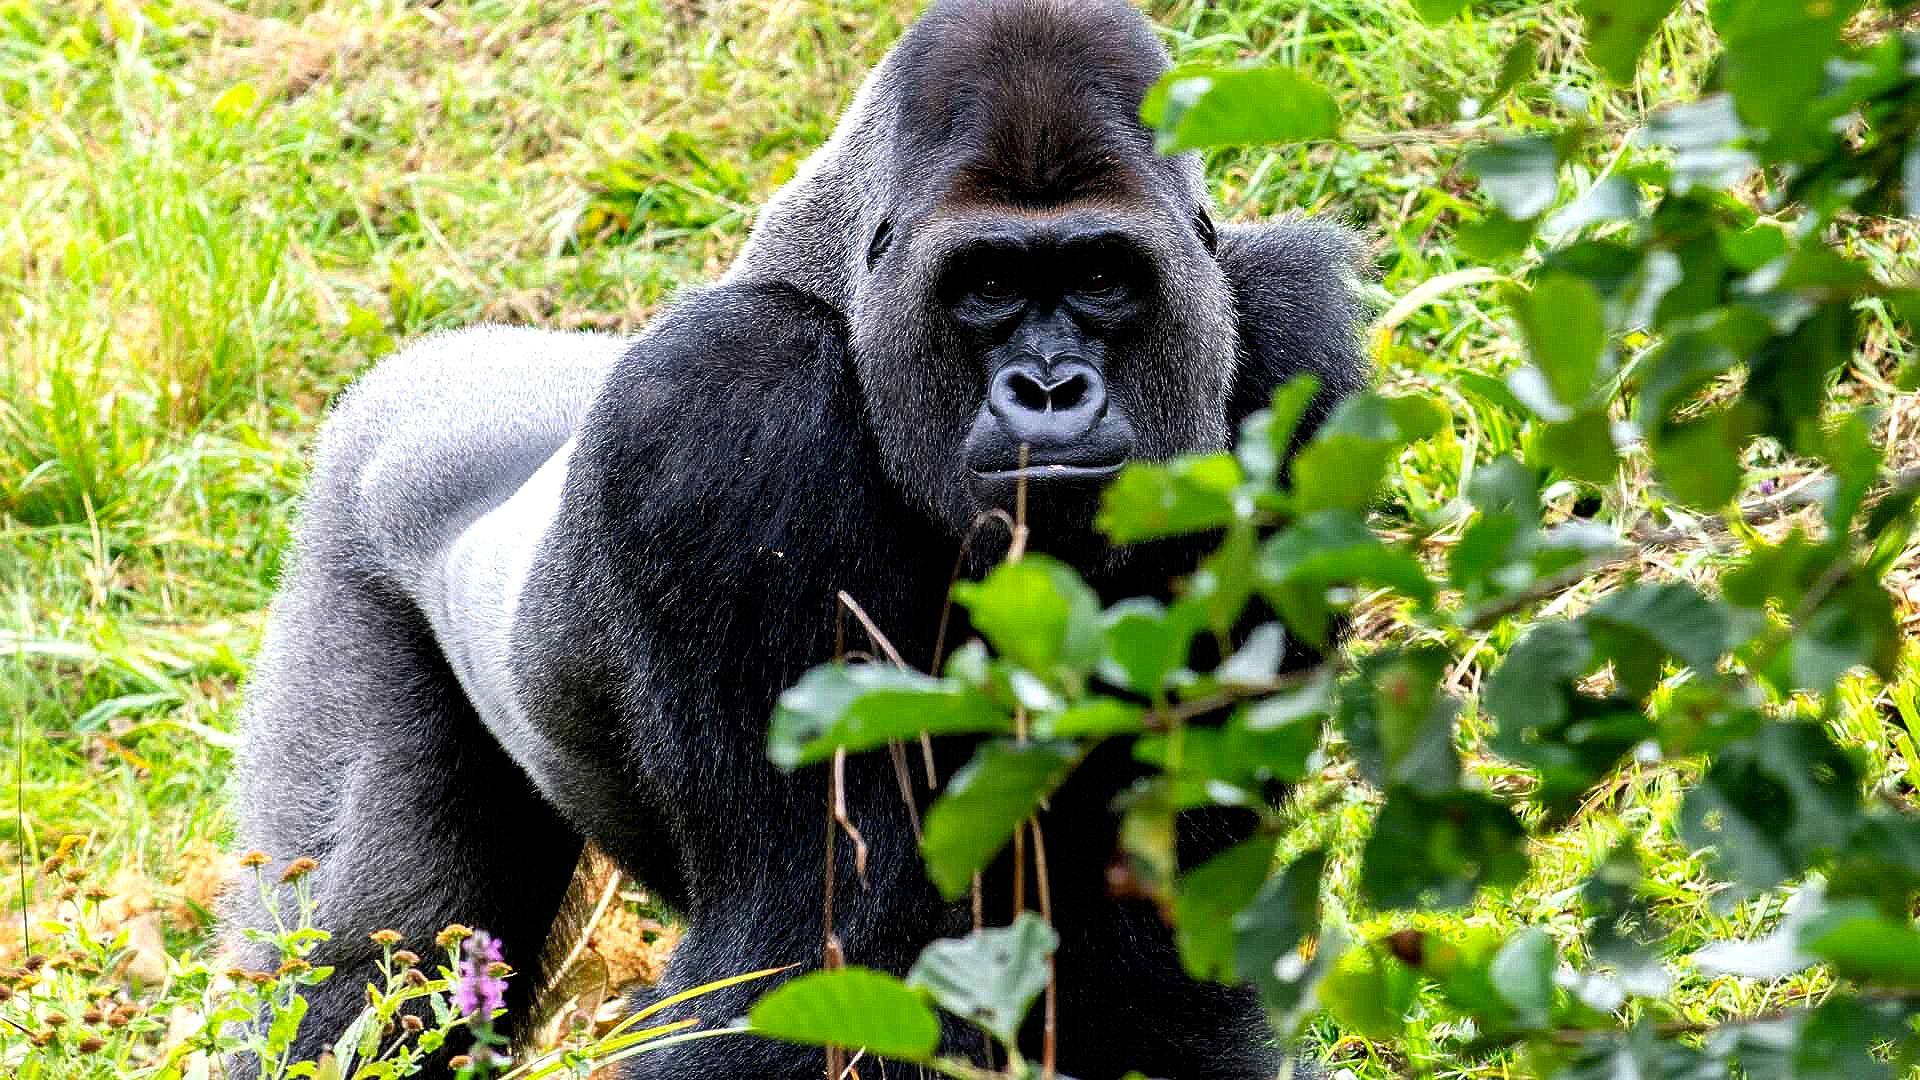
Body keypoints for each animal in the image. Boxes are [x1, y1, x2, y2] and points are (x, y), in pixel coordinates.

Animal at [228, 2, 1367, 1076]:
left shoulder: (1293, 353)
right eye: (990, 286)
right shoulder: (727, 404)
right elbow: (804, 949)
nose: (1049, 389)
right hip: (349, 526)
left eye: (1099, 276)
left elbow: (1157, 927)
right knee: (355, 968)